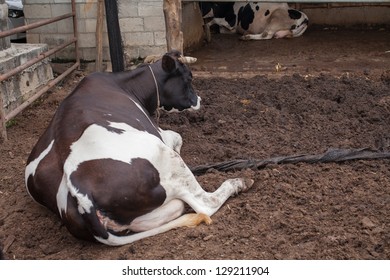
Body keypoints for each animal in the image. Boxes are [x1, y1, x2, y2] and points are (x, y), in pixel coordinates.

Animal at [25, 51, 256, 246]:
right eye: (188, 78)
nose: (199, 100)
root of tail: (79, 192)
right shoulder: (162, 135)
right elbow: (178, 137)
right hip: (166, 158)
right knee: (205, 202)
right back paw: (239, 182)